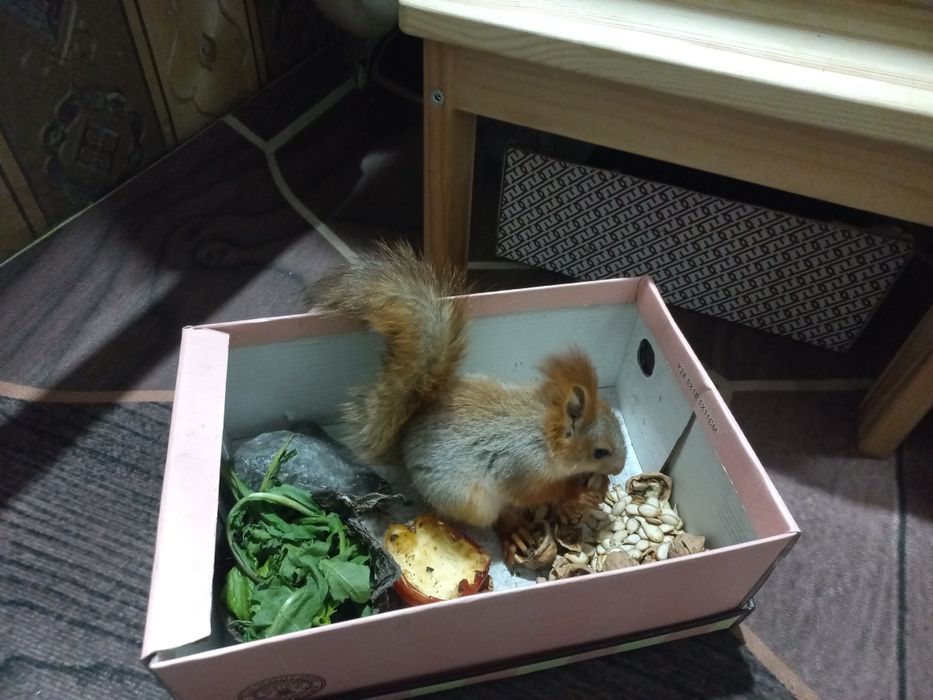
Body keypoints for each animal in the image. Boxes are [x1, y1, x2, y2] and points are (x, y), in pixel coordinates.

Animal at [306, 242, 627, 552]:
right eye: (600, 451)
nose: (621, 468)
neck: (545, 435)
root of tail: (405, 442)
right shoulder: (522, 468)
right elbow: (535, 492)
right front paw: (576, 492)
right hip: (471, 502)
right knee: (498, 516)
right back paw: (514, 531)